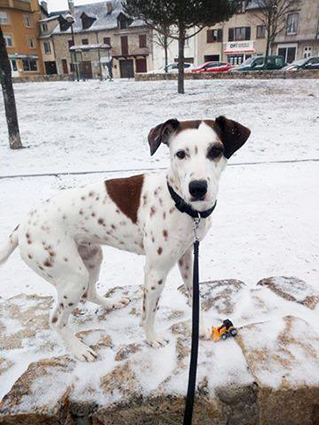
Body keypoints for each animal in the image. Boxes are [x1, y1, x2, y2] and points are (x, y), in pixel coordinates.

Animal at [0, 117, 250, 362]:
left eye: (215, 150)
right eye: (180, 154)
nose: (198, 188)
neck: (180, 202)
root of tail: (22, 226)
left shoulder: (187, 257)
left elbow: (194, 297)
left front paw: (203, 327)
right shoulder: (155, 271)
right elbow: (149, 312)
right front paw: (151, 338)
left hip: (92, 257)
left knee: (89, 292)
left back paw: (111, 303)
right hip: (73, 276)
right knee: (56, 320)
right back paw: (79, 350)